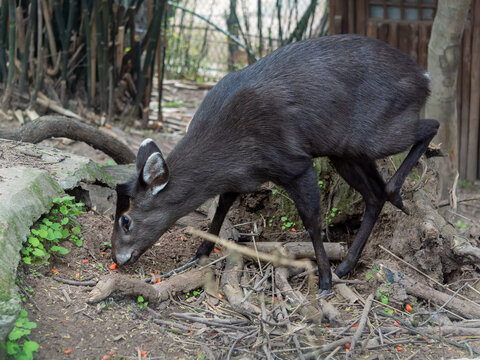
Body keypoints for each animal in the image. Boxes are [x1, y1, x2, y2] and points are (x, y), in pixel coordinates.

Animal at [111, 33, 438, 294]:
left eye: (126, 220)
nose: (117, 257)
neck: (228, 146)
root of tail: (424, 78)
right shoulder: (242, 175)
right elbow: (222, 206)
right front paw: (200, 251)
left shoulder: (294, 164)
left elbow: (312, 221)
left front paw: (324, 281)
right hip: (345, 151)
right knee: (373, 194)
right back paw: (347, 263)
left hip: (373, 134)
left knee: (430, 126)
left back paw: (395, 195)